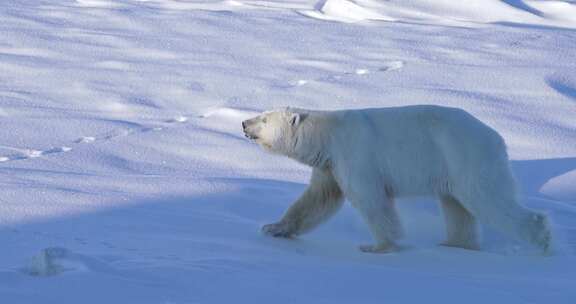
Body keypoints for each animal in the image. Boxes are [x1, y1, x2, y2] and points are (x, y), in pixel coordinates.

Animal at [241, 105, 552, 253]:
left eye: (264, 119)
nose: (244, 123)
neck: (328, 133)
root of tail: (498, 139)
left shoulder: (355, 154)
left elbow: (371, 200)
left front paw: (378, 246)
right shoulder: (330, 165)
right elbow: (317, 199)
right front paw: (273, 228)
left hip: (466, 157)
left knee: (489, 201)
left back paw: (543, 239)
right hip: (452, 168)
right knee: (457, 207)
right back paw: (454, 244)